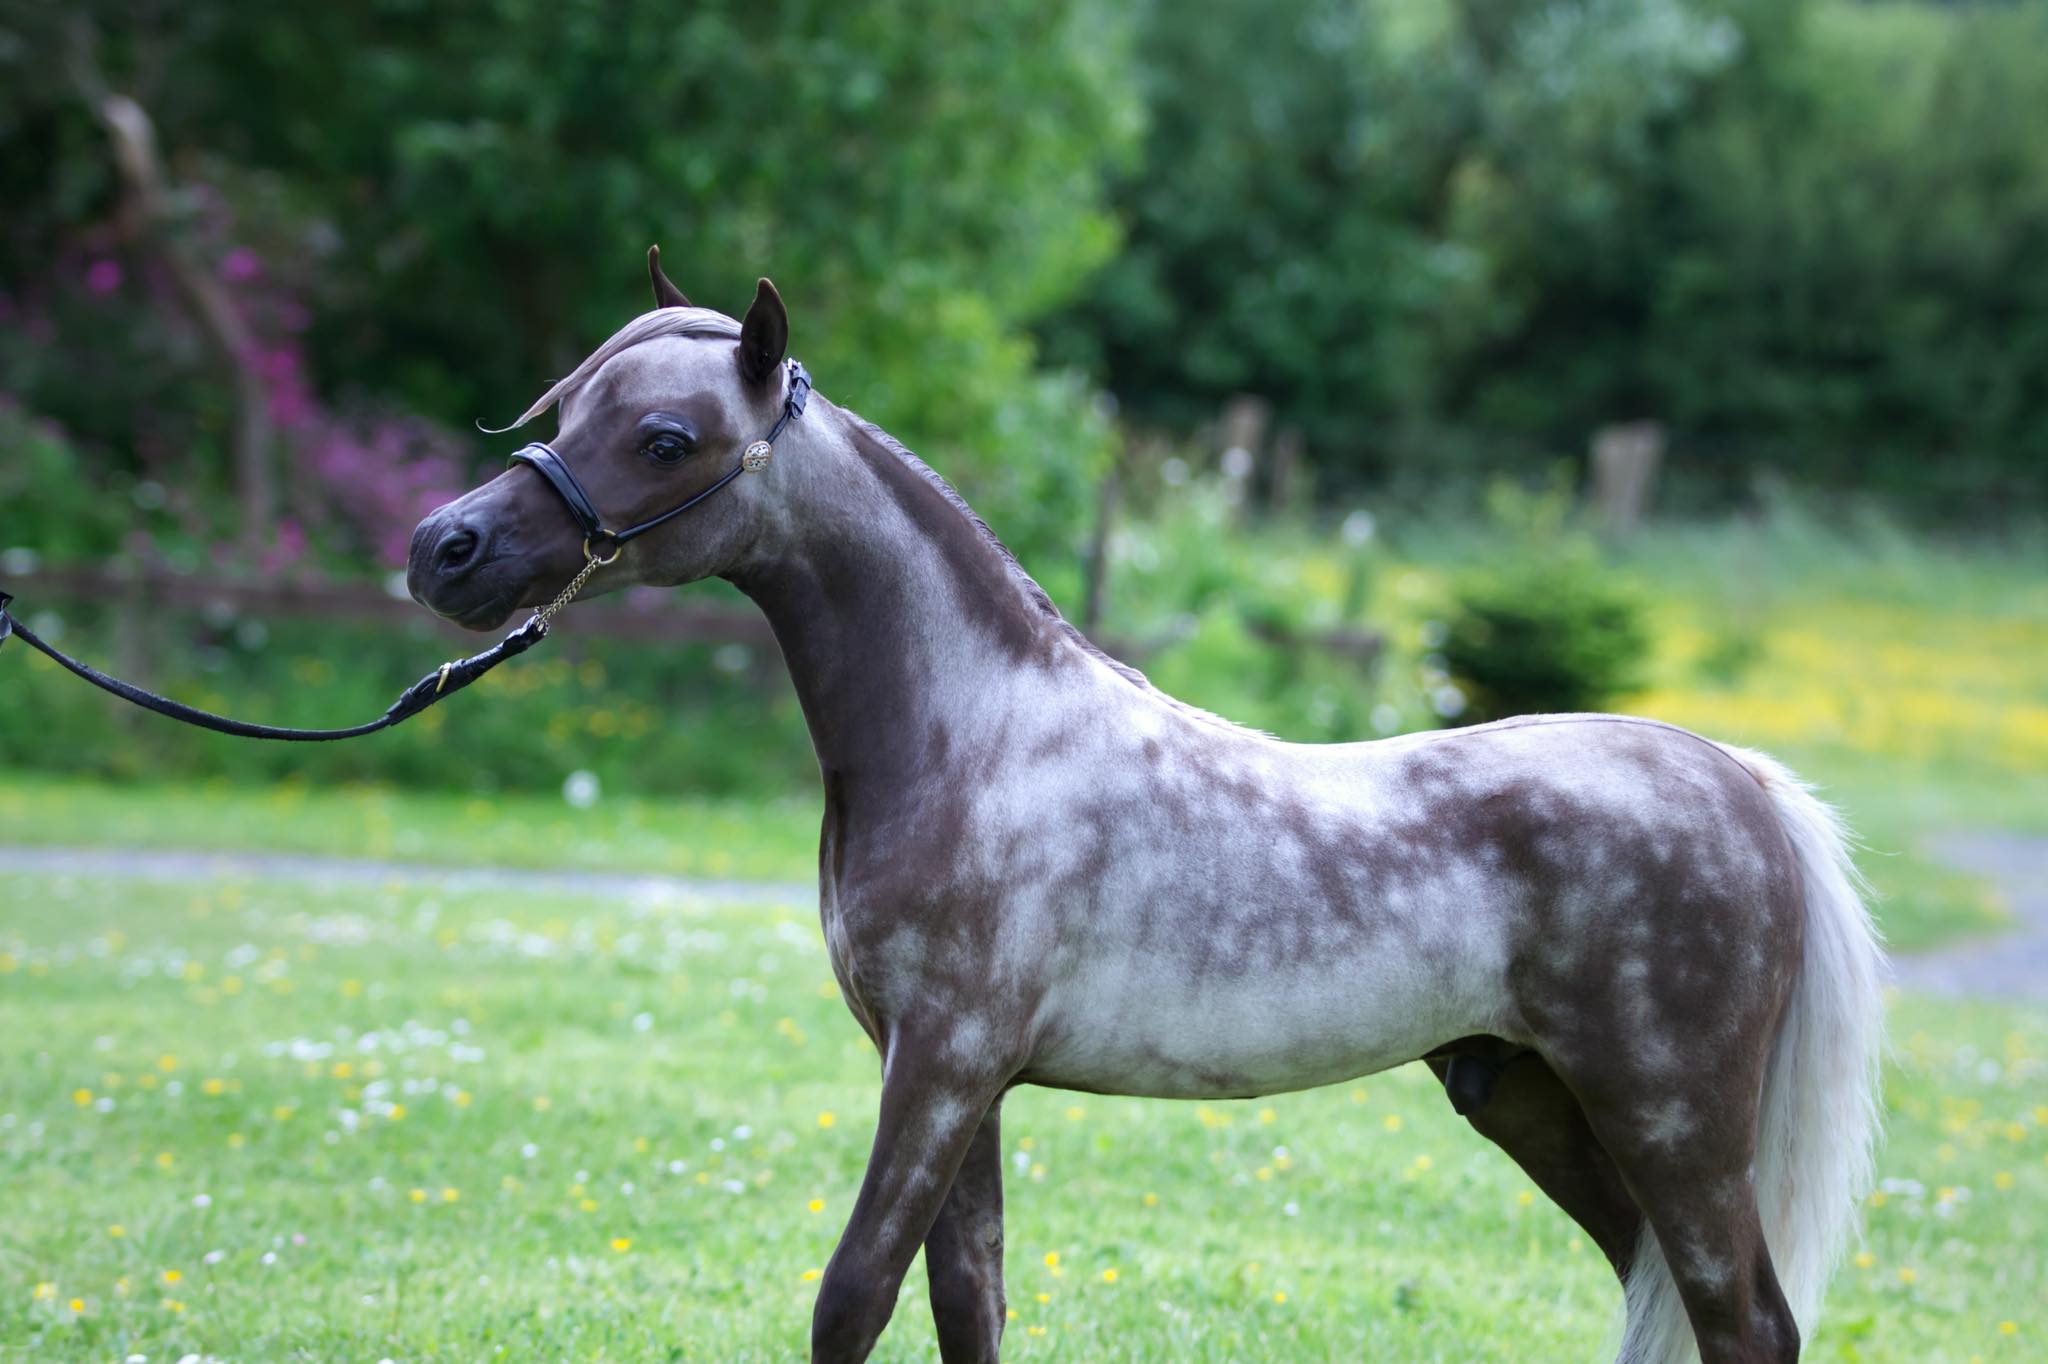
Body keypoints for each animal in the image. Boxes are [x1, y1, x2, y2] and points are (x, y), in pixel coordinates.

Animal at [406, 252, 1885, 1364]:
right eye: (559, 405)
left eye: (665, 437)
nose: (444, 550)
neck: (974, 733)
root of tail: (1739, 783)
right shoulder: (959, 1079)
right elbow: (967, 1303)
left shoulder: (940, 1064)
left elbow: (852, 1299)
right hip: (1536, 1101)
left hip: (1671, 1119)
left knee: (1744, 1321)